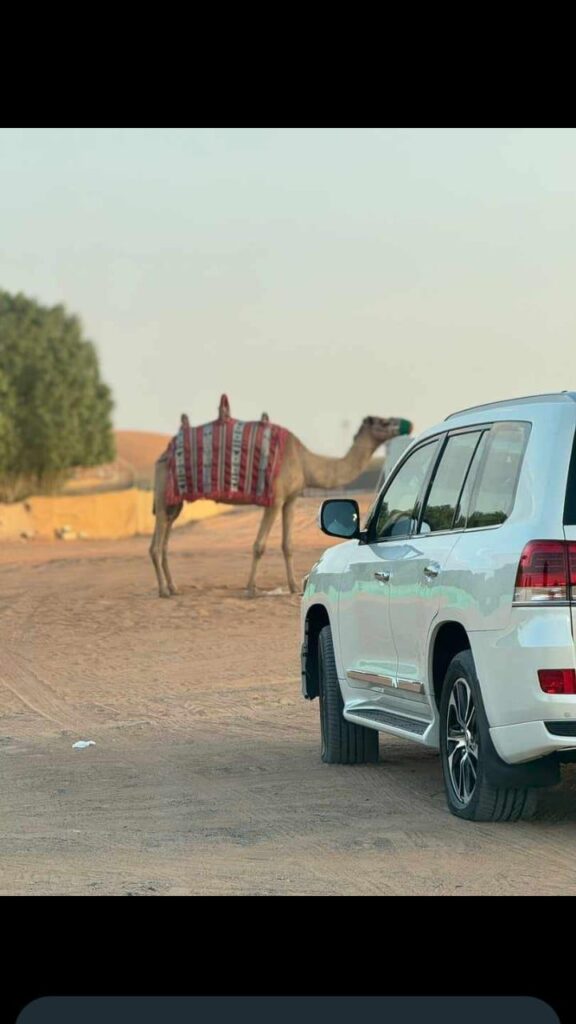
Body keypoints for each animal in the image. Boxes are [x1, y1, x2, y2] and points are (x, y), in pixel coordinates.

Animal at [147, 409, 407, 598]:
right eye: (383, 422)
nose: (406, 423)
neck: (305, 462)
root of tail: (162, 455)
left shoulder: (290, 499)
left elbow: (287, 544)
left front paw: (294, 587)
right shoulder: (275, 499)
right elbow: (259, 545)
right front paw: (251, 589)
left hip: (174, 502)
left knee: (165, 539)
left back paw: (173, 587)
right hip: (164, 492)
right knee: (156, 544)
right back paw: (163, 590)